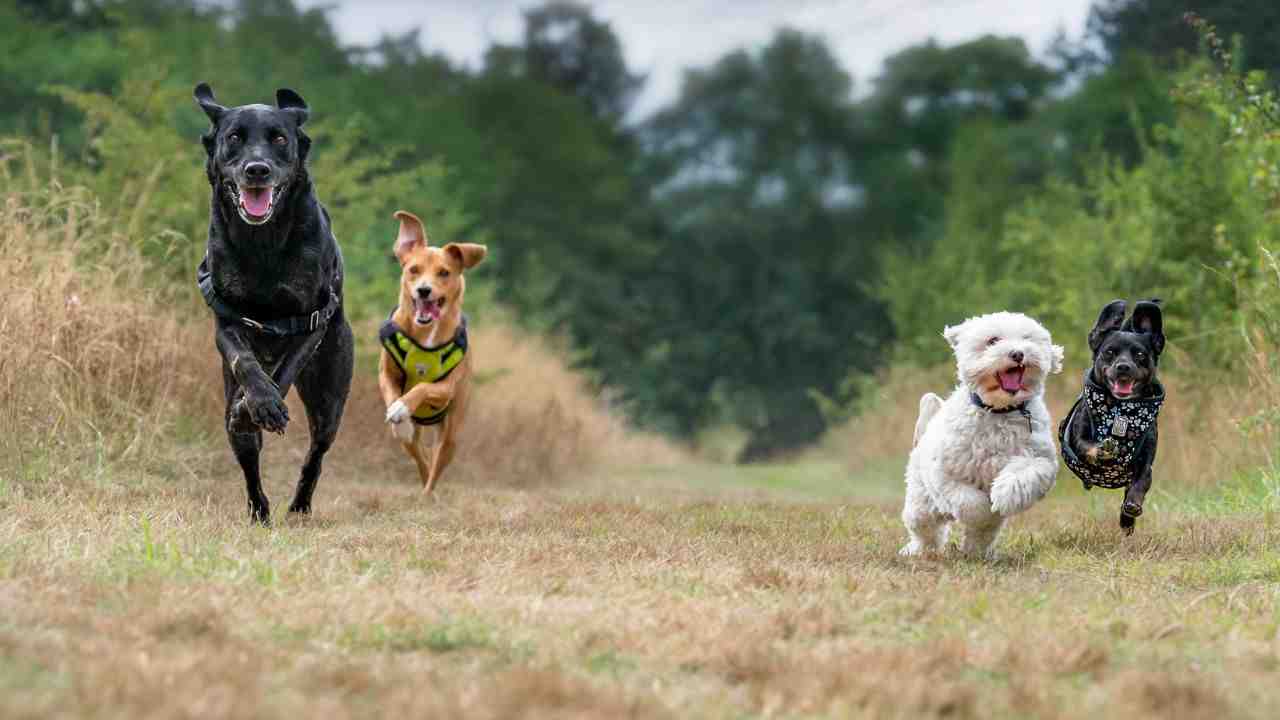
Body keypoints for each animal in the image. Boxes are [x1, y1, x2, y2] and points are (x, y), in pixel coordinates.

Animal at [189, 83, 353, 520]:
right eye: (234, 138)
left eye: (279, 139)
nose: (257, 169)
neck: (262, 244)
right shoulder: (227, 321)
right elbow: (243, 360)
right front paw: (257, 404)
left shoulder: (310, 322)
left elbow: (285, 371)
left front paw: (265, 405)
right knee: (248, 454)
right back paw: (259, 509)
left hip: (330, 398)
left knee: (316, 453)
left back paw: (299, 506)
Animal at [376, 208, 486, 491]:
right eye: (413, 270)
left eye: (444, 273)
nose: (424, 290)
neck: (426, 334)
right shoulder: (386, 372)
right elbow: (391, 391)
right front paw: (399, 415)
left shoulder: (446, 388)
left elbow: (423, 387)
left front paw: (403, 407)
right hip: (418, 441)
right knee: (421, 458)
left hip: (451, 433)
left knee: (435, 466)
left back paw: (428, 494)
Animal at [901, 311, 1070, 558]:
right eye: (993, 340)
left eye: (1027, 339)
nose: (1017, 353)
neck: (998, 410)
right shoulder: (946, 472)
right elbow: (969, 503)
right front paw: (983, 509)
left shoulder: (1039, 458)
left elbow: (1024, 475)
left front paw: (1003, 496)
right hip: (921, 501)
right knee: (925, 530)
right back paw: (917, 550)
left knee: (982, 534)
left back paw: (976, 553)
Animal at [1054, 298, 1167, 532]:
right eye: (1109, 352)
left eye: (1140, 355)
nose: (1123, 366)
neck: (1120, 412)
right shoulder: (1077, 438)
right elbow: (1087, 446)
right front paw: (1102, 450)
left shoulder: (1145, 463)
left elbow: (1141, 482)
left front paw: (1132, 506)